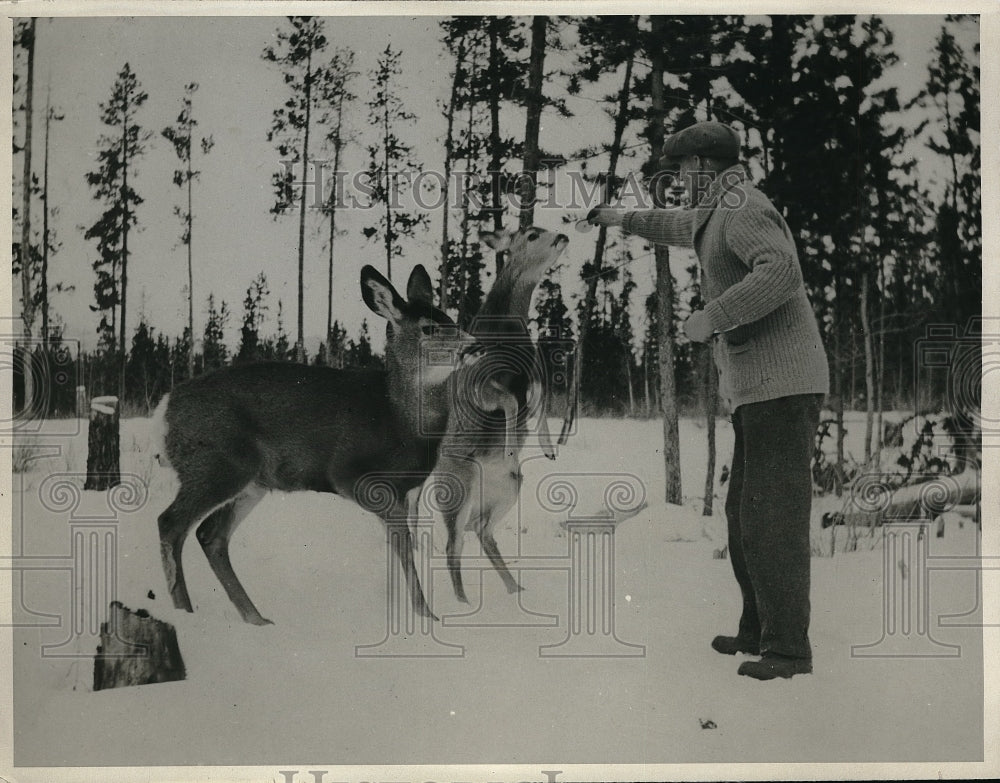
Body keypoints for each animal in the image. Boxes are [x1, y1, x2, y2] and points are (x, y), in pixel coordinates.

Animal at [153, 264, 464, 624]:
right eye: (429, 327)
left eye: (452, 319)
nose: (473, 345)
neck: (399, 418)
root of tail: (164, 409)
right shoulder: (352, 475)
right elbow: (403, 548)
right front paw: (426, 614)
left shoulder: (406, 492)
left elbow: (401, 548)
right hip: (217, 463)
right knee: (171, 524)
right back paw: (184, 612)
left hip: (250, 480)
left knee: (210, 535)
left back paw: (256, 618)